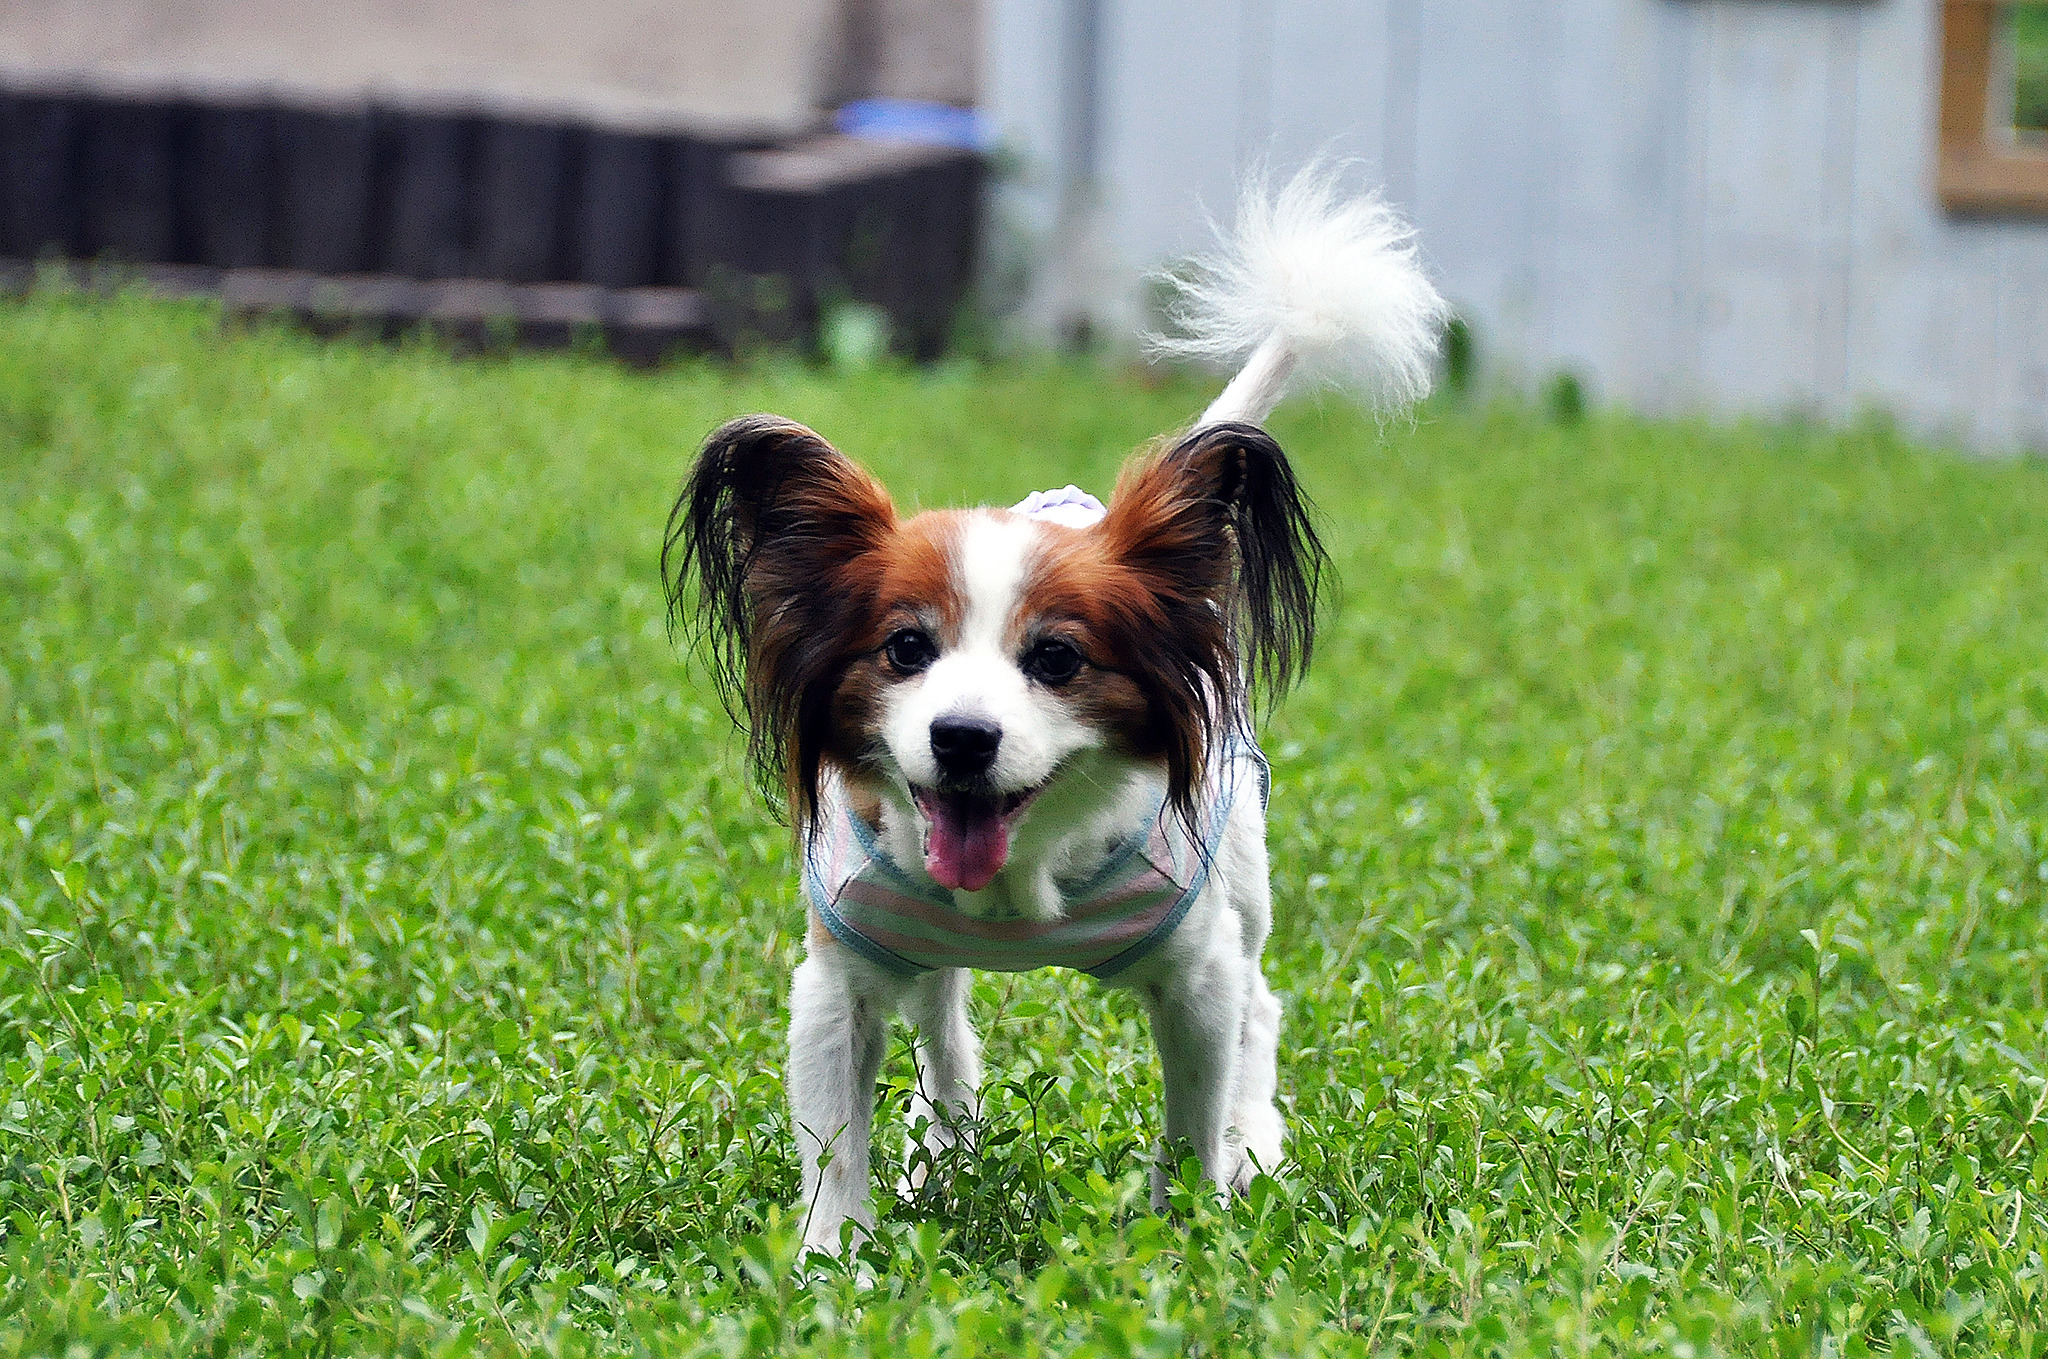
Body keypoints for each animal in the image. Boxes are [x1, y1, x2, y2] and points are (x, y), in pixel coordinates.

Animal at [663, 164, 1449, 1260]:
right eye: (905, 649)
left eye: (1057, 659)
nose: (961, 738)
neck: (1015, 888)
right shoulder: (836, 984)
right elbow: (836, 1150)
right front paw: (832, 1262)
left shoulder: (1197, 980)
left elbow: (1191, 1116)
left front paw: (1184, 1234)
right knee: (946, 1034)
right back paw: (942, 1154)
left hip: (1245, 886)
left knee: (1262, 1009)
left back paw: (1252, 1143)